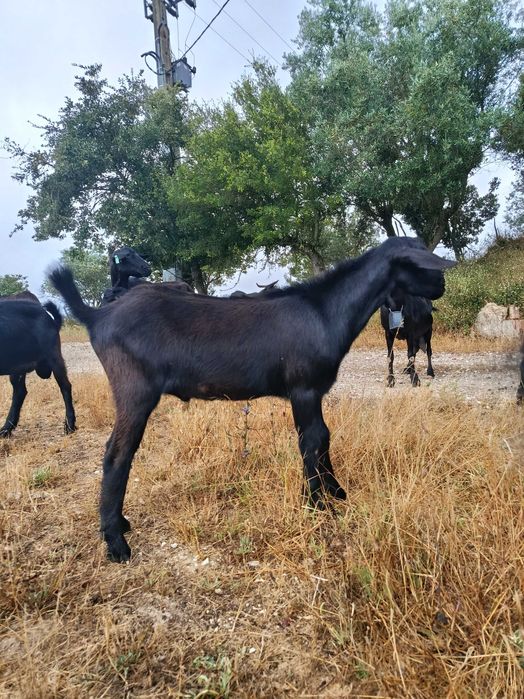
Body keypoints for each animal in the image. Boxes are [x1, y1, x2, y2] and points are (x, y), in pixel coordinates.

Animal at [0, 291, 76, 437]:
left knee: (65, 386)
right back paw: (6, 428)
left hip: (54, 357)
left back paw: (70, 425)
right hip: (18, 367)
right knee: (20, 392)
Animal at [49, 236, 454, 563]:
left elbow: (322, 439)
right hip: (134, 389)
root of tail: (98, 315)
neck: (324, 311)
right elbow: (312, 441)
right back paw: (116, 543)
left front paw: (335, 493)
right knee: (117, 454)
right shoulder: (303, 389)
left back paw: (121, 525)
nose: (442, 285)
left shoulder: (313, 392)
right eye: (422, 262)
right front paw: (318, 506)